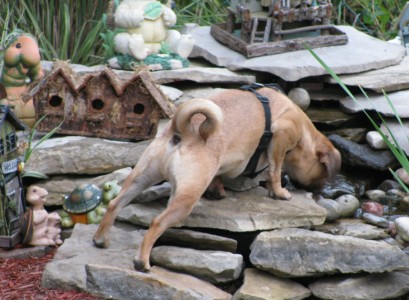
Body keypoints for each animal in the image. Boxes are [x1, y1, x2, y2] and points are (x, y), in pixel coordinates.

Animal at [93, 87, 342, 272]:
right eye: (321, 174)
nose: (319, 189)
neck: (306, 135)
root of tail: (182, 129)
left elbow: (220, 176)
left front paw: (218, 190)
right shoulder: (281, 138)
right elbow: (275, 169)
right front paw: (279, 191)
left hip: (141, 178)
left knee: (115, 204)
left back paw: (100, 239)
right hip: (185, 197)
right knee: (157, 223)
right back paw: (141, 262)